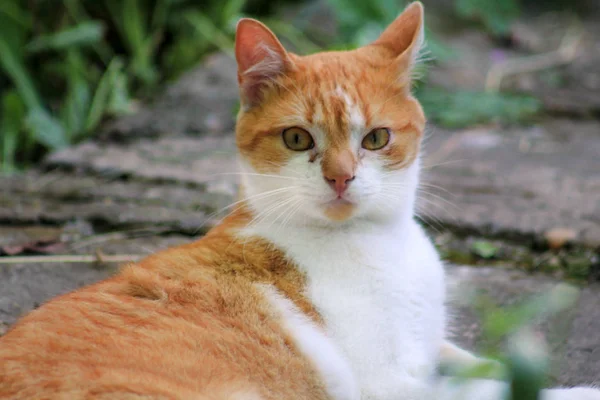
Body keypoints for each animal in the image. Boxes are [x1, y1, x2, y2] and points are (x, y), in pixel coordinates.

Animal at [1, 1, 600, 398]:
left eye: (375, 138)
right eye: (296, 139)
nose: (340, 177)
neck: (377, 242)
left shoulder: (431, 353)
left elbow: (482, 366)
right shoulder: (392, 386)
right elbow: (503, 390)